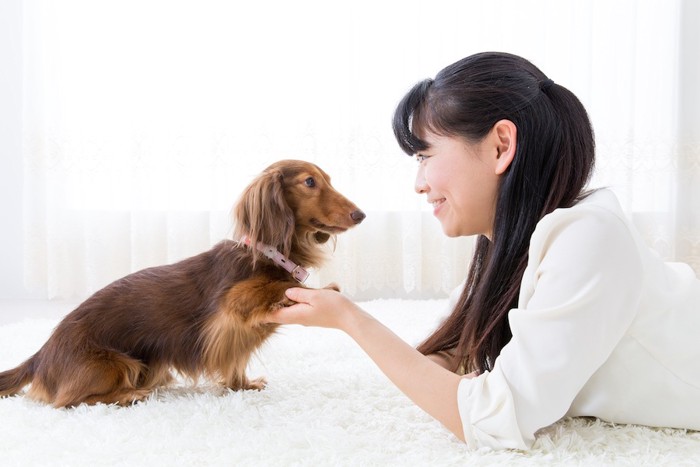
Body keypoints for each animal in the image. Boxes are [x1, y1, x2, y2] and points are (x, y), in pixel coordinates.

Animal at [0, 159, 364, 408]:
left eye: (328, 180)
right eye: (309, 182)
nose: (360, 214)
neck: (270, 252)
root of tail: (41, 355)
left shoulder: (234, 334)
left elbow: (237, 358)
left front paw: (242, 385)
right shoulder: (232, 303)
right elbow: (278, 289)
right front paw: (323, 291)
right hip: (118, 363)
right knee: (67, 401)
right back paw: (130, 395)